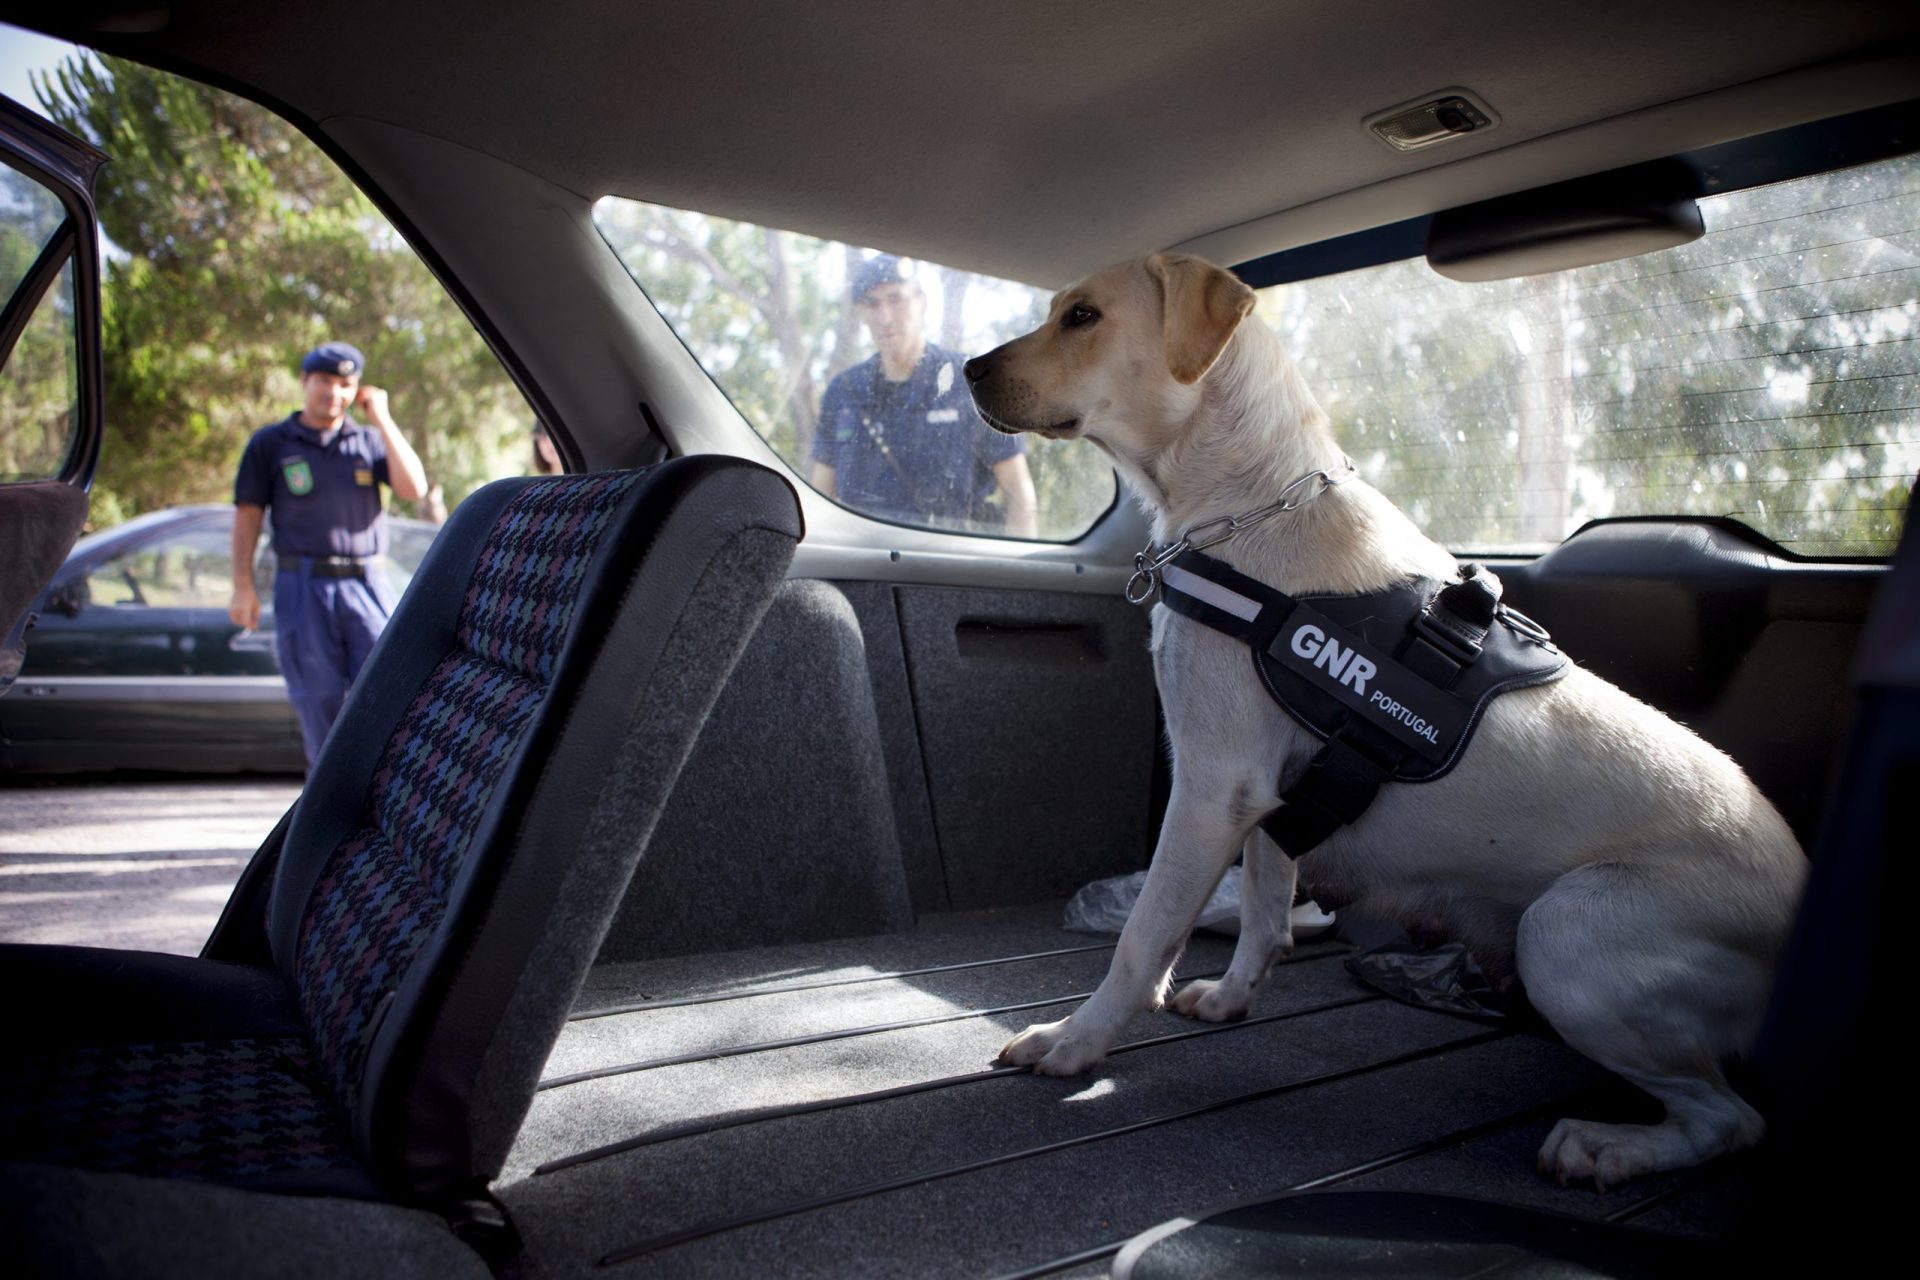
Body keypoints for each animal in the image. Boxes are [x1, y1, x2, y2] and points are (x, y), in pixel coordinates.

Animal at [967, 249, 1804, 1189]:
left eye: (1082, 317)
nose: (968, 370)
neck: (1251, 501)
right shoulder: (1267, 796)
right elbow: (1264, 908)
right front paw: (1232, 994)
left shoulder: (1212, 785)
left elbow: (1144, 939)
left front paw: (1073, 1043)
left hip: (1566, 933)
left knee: (1731, 1119)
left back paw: (1607, 1144)